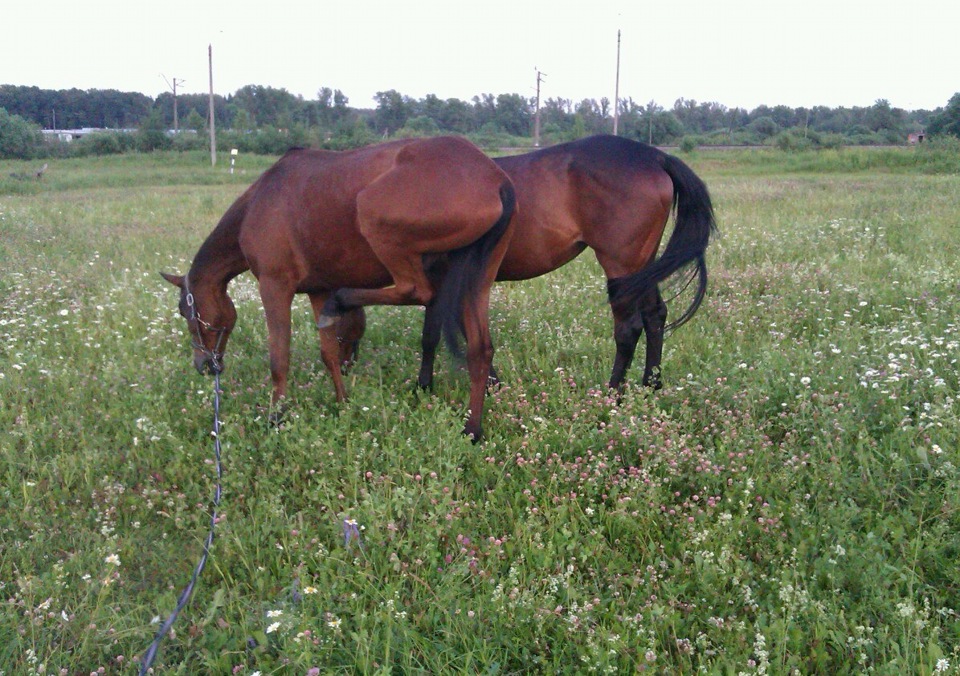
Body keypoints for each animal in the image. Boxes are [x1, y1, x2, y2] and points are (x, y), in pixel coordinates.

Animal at [160, 138, 512, 444]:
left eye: (185, 310)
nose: (204, 365)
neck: (257, 204)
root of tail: (494, 179)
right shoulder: (318, 289)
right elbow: (328, 353)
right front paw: (342, 401)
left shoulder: (274, 287)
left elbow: (279, 358)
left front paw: (277, 417)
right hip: (475, 282)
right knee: (480, 350)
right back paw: (472, 429)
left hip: (383, 231)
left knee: (416, 291)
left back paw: (342, 303)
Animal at [338, 134, 712, 390]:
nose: (343, 365)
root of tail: (657, 157)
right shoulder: (439, 276)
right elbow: (432, 332)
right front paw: (427, 387)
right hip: (641, 267)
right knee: (655, 315)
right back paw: (651, 384)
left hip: (621, 266)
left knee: (629, 328)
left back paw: (614, 393)